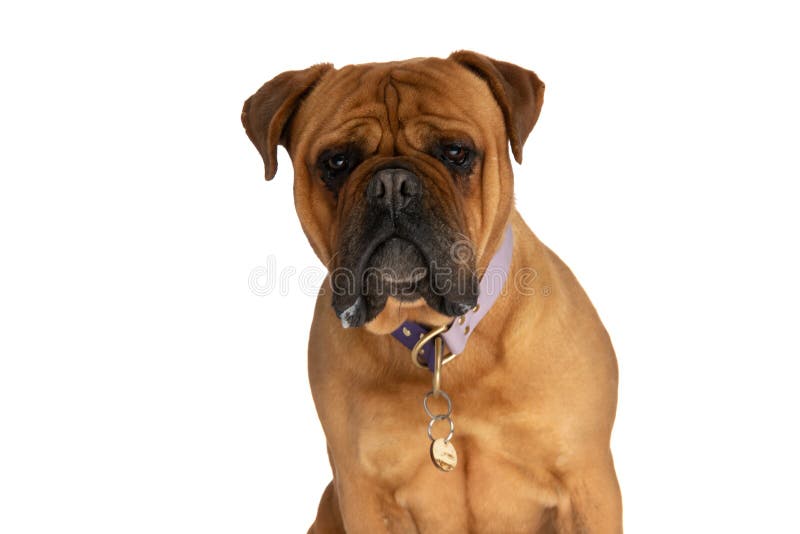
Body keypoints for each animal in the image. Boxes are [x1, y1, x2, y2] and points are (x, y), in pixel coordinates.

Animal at [241, 51, 620, 534]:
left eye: (456, 152)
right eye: (337, 162)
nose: (391, 186)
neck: (438, 337)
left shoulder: (586, 484)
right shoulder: (367, 496)